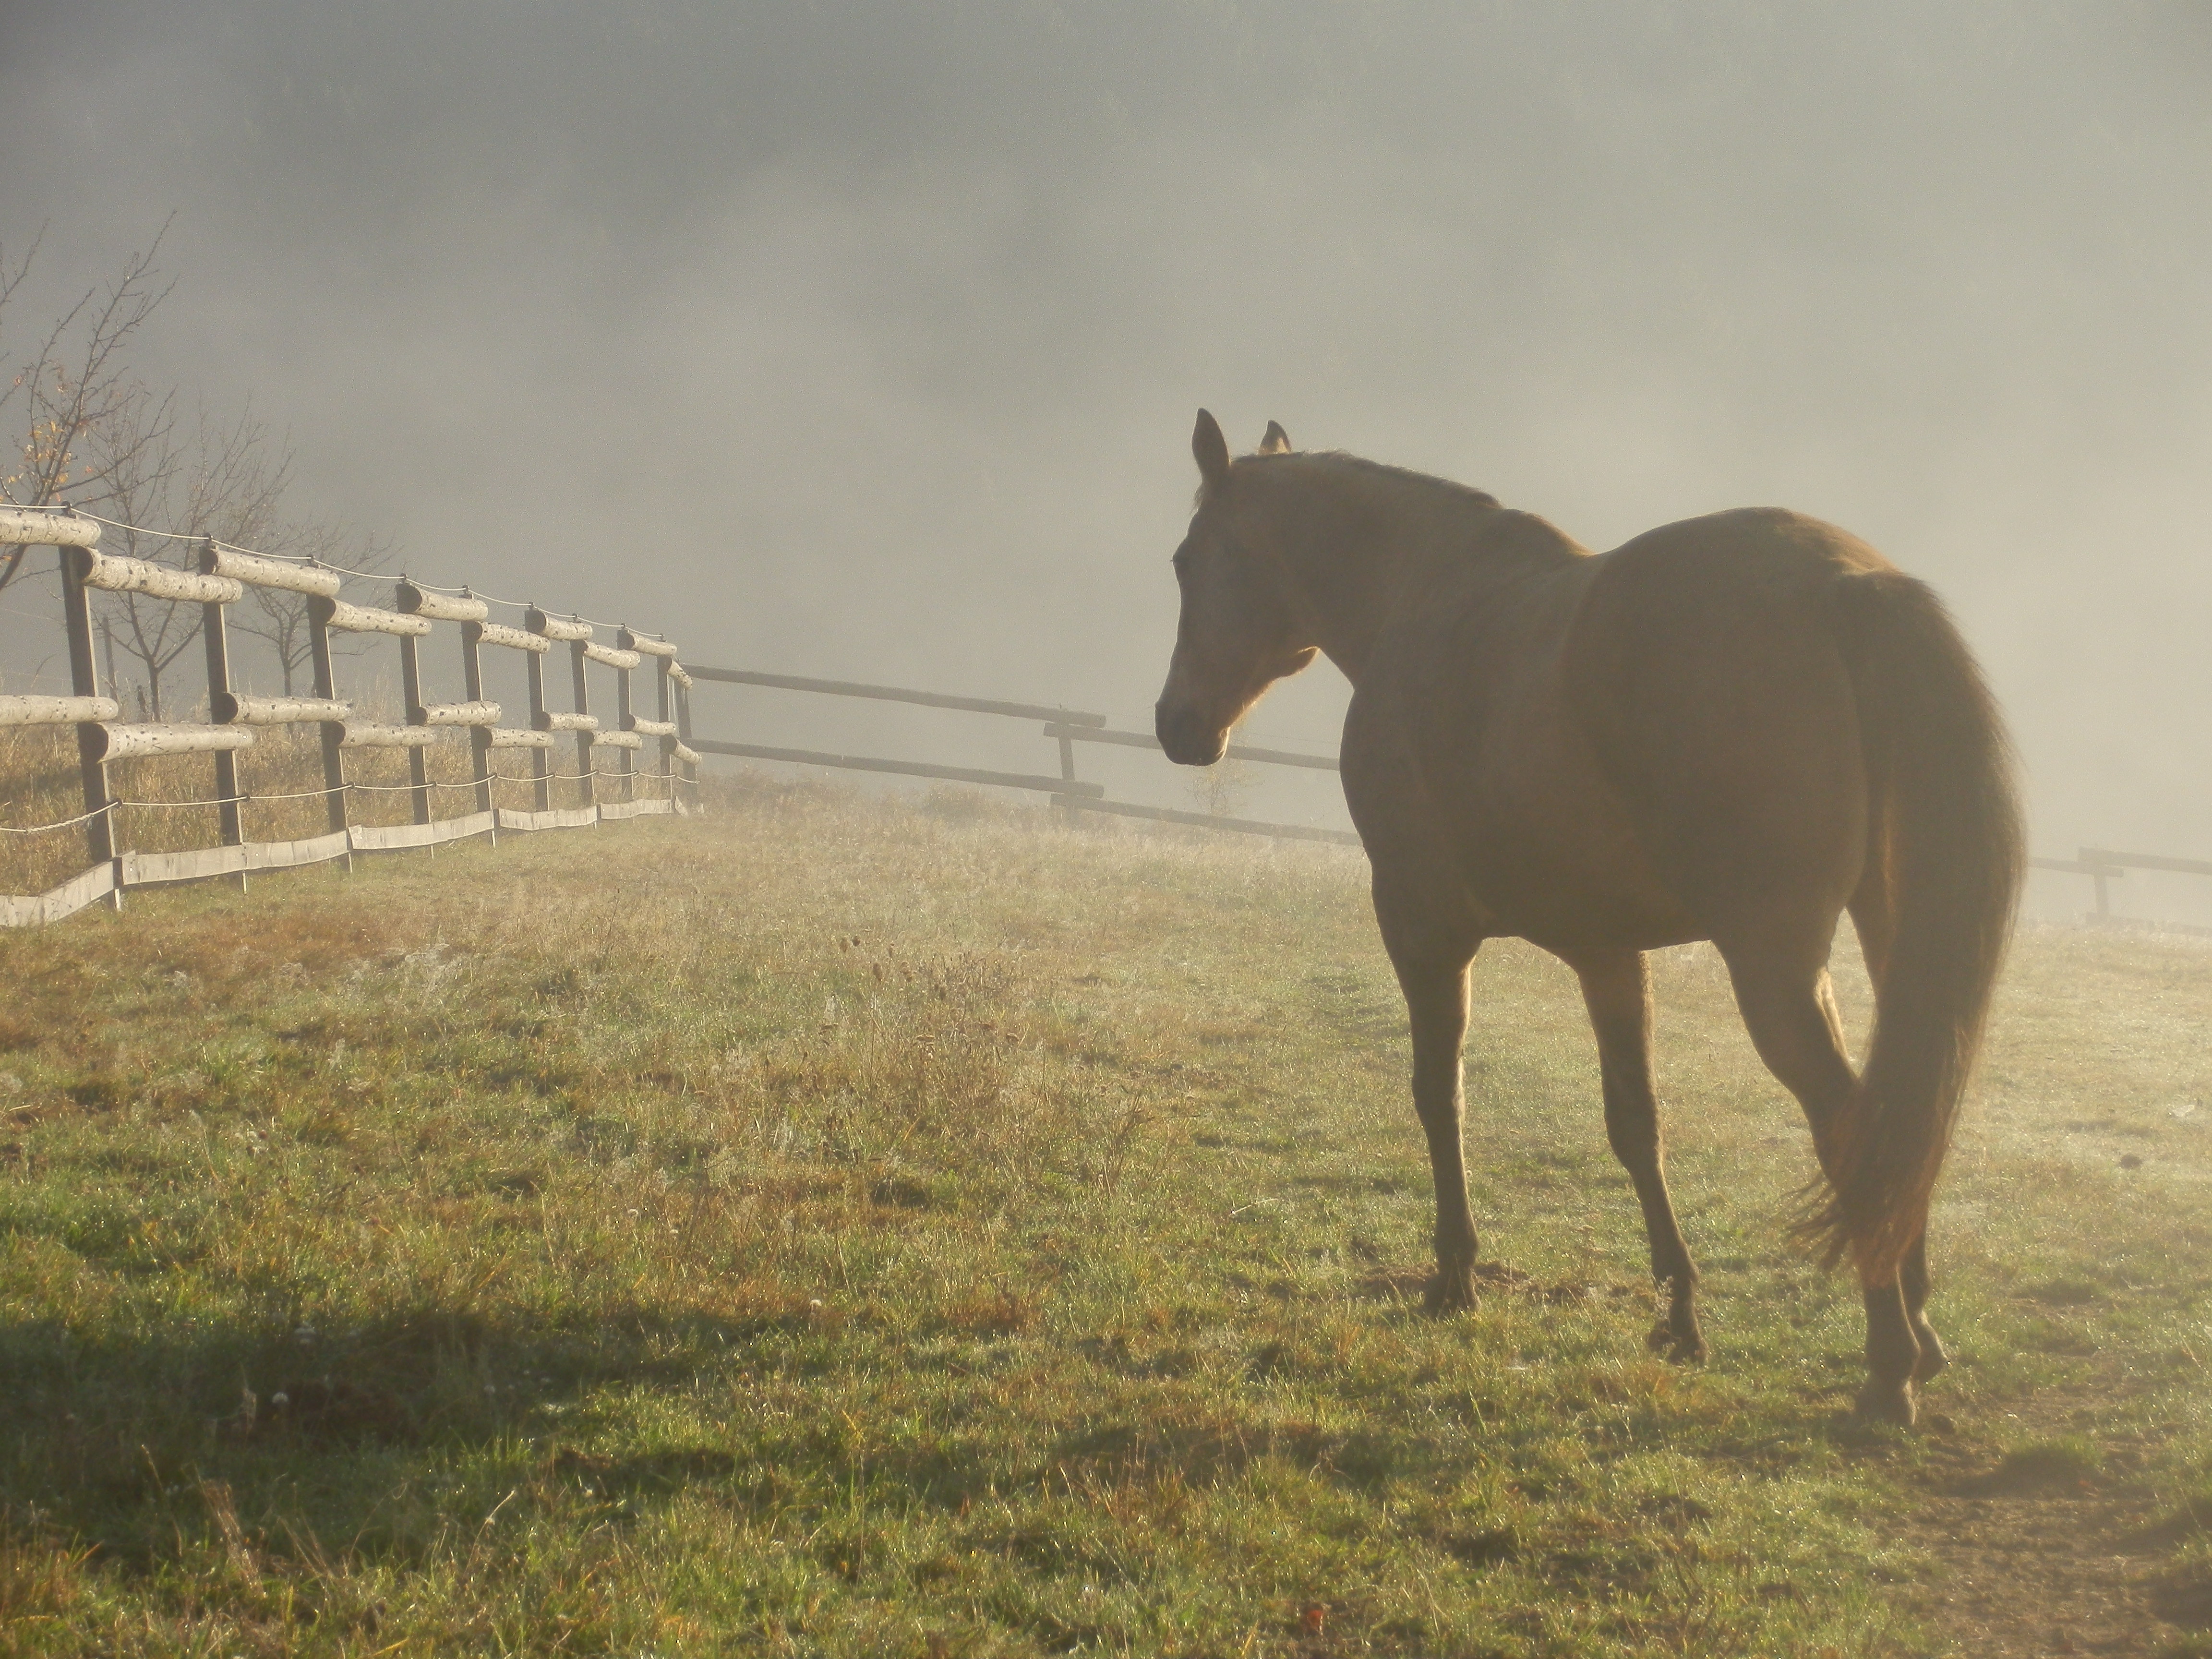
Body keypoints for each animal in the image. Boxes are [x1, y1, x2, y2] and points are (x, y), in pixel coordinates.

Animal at [1159, 409, 2026, 1424]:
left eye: (1185, 560)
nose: (1177, 724)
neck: (1426, 599)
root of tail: (1842, 581)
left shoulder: (1420, 927)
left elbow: (1438, 1092)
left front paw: (1453, 1277)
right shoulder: (1606, 952)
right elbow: (1634, 1124)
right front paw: (1678, 1315)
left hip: (1772, 966)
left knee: (1851, 1122)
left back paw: (1888, 1366)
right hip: (1887, 943)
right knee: (1903, 1117)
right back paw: (1917, 1326)